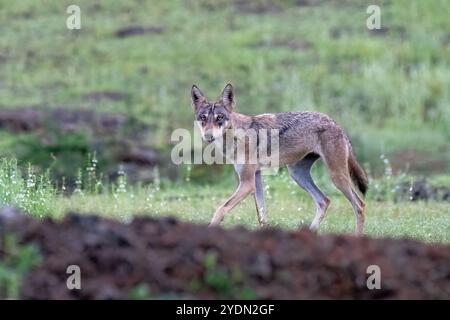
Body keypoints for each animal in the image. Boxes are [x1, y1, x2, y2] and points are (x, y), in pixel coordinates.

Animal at [191, 84, 370, 235]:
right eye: (203, 118)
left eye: (219, 118)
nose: (208, 136)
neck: (237, 136)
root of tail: (335, 124)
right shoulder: (256, 179)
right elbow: (262, 217)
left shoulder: (247, 183)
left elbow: (220, 209)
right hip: (297, 175)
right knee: (324, 201)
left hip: (336, 177)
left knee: (360, 206)